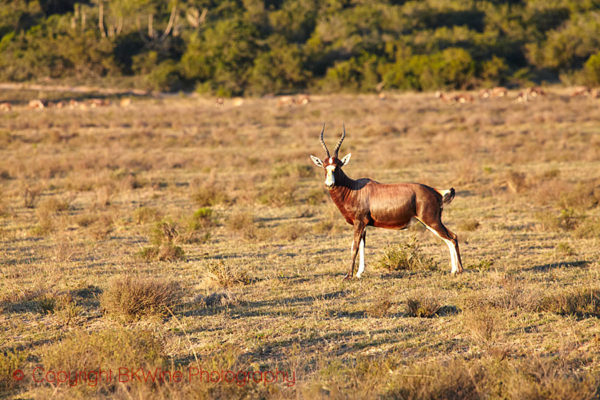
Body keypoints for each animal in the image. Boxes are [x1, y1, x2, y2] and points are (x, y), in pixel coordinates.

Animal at [310, 124, 464, 278]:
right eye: (324, 167)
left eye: (338, 167)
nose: (330, 184)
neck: (354, 188)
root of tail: (436, 191)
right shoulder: (364, 225)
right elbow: (362, 246)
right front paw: (359, 273)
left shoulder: (359, 223)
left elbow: (354, 247)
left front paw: (348, 276)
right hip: (432, 222)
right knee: (452, 237)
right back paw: (454, 270)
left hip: (431, 221)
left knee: (451, 238)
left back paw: (458, 270)